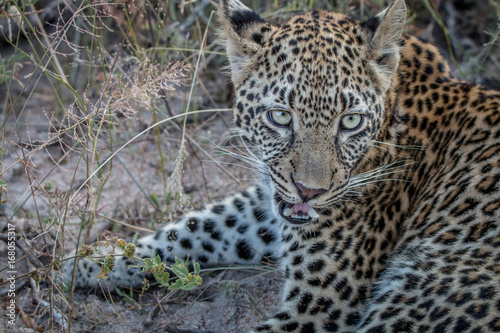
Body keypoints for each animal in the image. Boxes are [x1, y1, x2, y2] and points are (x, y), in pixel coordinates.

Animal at [61, 1, 500, 330]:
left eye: (350, 121)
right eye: (280, 116)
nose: (311, 191)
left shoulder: (321, 305)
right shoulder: (269, 201)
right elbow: (197, 227)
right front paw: (89, 263)